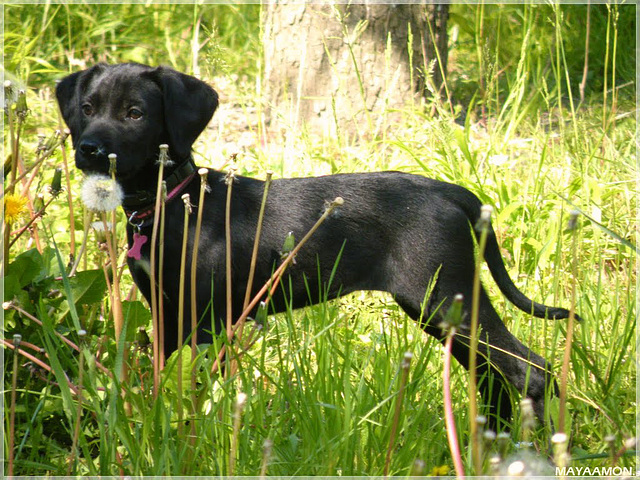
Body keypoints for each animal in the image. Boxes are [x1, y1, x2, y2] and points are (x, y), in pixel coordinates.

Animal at [57, 62, 576, 428]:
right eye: (87, 108)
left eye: (135, 113)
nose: (89, 149)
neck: (173, 203)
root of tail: (449, 191)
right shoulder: (167, 311)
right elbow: (167, 380)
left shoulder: (207, 320)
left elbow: (197, 387)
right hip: (442, 308)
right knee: (493, 374)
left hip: (445, 294)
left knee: (529, 371)